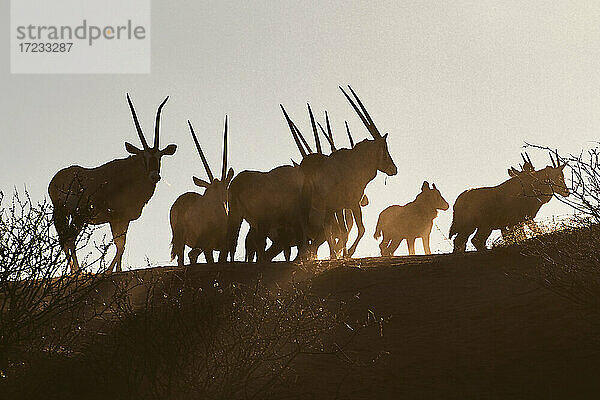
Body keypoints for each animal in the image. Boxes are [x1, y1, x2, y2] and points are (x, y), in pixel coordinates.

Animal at [49, 95, 176, 274]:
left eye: (160, 156)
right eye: (143, 157)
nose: (154, 176)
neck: (130, 177)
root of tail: (56, 180)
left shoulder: (124, 219)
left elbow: (122, 244)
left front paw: (118, 270)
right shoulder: (114, 218)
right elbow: (119, 245)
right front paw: (109, 271)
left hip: (67, 214)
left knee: (65, 238)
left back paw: (74, 270)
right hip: (76, 215)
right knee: (70, 238)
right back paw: (77, 271)